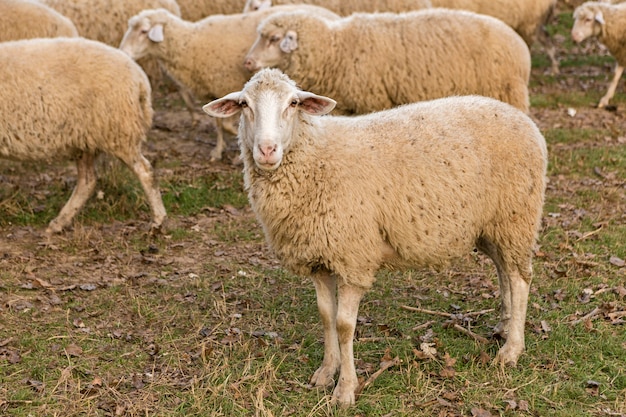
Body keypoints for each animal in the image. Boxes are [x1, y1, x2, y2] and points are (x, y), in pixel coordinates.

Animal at [0, 37, 166, 234]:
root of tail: (140, 77)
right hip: (86, 140)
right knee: (88, 181)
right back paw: (60, 222)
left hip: (118, 130)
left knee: (145, 171)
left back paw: (158, 220)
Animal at [119, 6, 338, 163]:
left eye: (144, 31)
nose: (123, 52)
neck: (189, 43)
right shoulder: (217, 92)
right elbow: (218, 123)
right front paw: (218, 151)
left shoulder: (227, 85)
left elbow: (226, 124)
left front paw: (235, 149)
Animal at [202, 67, 544, 404]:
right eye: (244, 104)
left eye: (294, 103)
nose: (267, 150)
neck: (316, 157)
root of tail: (524, 120)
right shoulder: (318, 258)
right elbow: (325, 316)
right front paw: (325, 372)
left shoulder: (353, 257)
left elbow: (343, 325)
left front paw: (345, 389)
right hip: (492, 225)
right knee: (504, 270)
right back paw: (504, 325)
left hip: (516, 216)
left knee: (520, 278)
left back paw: (512, 350)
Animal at [243, 8, 528, 115]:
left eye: (274, 38)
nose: (247, 62)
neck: (336, 50)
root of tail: (520, 47)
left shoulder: (373, 100)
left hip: (506, 93)